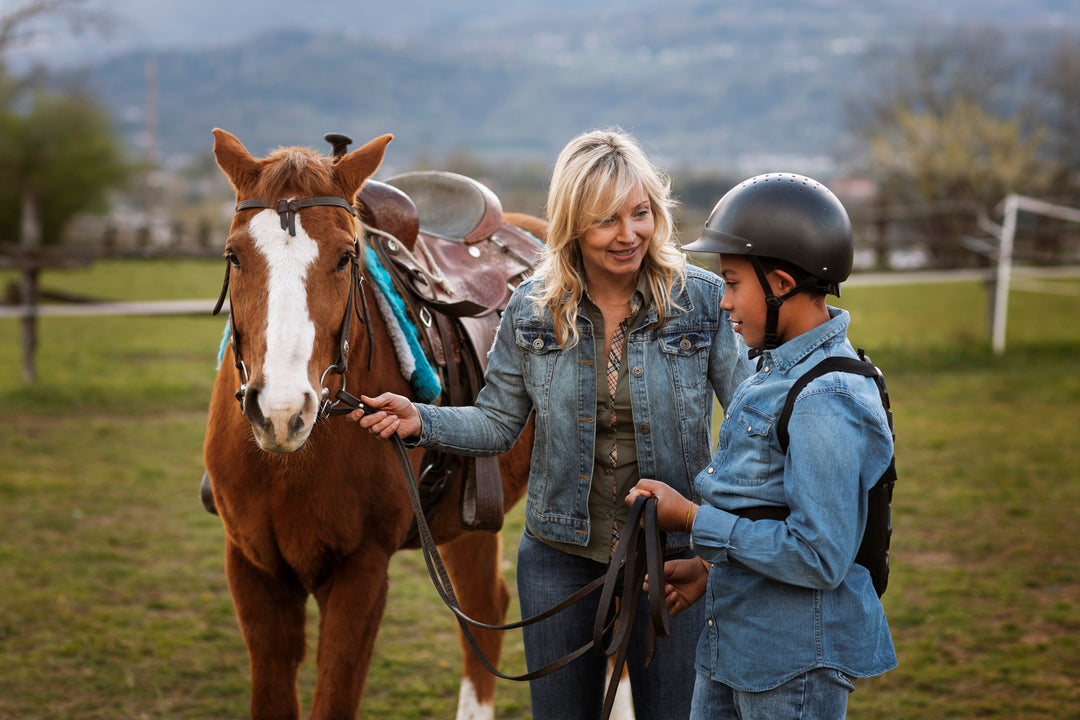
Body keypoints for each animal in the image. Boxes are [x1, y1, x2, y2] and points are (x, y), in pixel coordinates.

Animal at [202, 128, 543, 720]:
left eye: (346, 257)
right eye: (233, 256)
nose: (281, 410)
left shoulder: (360, 573)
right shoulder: (252, 569)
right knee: (486, 607)